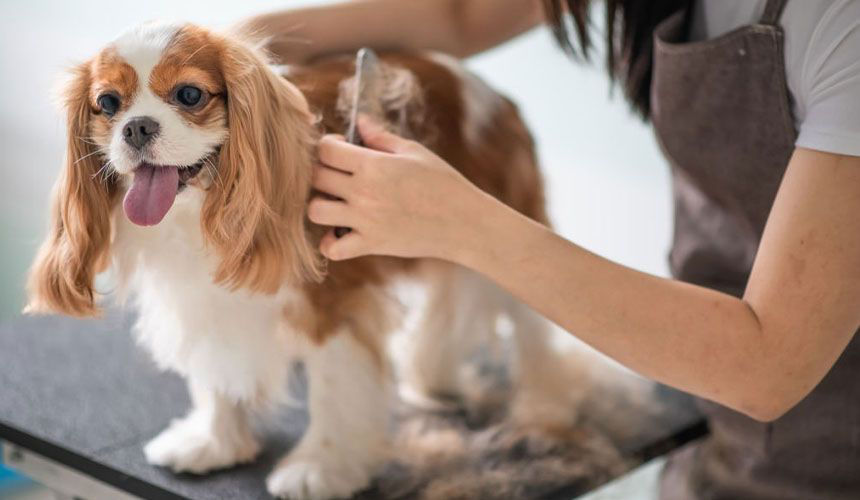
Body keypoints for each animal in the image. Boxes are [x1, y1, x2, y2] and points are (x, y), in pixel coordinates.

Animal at [25, 20, 584, 500]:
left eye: (188, 95)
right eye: (107, 103)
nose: (137, 127)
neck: (197, 213)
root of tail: (494, 95)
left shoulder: (331, 305)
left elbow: (332, 389)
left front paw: (319, 468)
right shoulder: (206, 301)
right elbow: (216, 370)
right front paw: (214, 442)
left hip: (506, 237)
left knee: (534, 333)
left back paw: (544, 411)